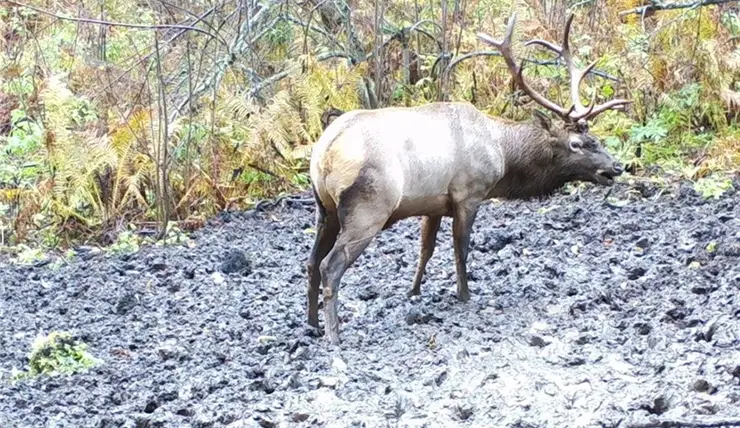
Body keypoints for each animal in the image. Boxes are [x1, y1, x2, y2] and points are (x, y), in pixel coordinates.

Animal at [304, 12, 632, 344]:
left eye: (596, 139)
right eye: (576, 144)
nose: (617, 167)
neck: (502, 155)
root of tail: (324, 153)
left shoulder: (433, 204)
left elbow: (426, 249)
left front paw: (414, 291)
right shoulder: (468, 193)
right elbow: (461, 250)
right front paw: (464, 294)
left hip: (324, 209)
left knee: (311, 262)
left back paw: (312, 323)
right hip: (368, 207)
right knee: (330, 265)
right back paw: (334, 334)